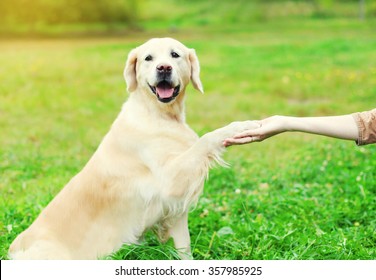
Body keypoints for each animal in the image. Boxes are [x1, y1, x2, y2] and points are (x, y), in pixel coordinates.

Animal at [8, 37, 258, 260]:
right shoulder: (170, 182)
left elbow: (184, 248)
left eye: (175, 54)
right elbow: (206, 139)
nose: (163, 67)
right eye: (148, 58)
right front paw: (241, 126)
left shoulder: (174, 207)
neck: (159, 115)